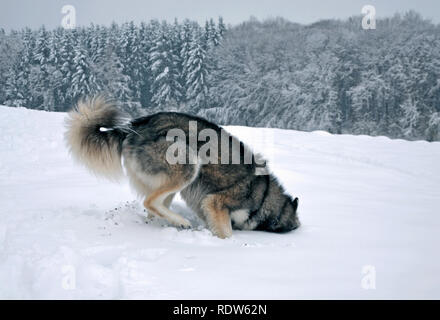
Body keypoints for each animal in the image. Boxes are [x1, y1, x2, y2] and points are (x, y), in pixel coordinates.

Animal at [65, 96, 300, 239]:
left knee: (154, 207)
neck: (264, 196)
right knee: (150, 202)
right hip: (189, 164)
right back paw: (182, 222)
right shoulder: (215, 202)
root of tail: (133, 127)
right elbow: (227, 232)